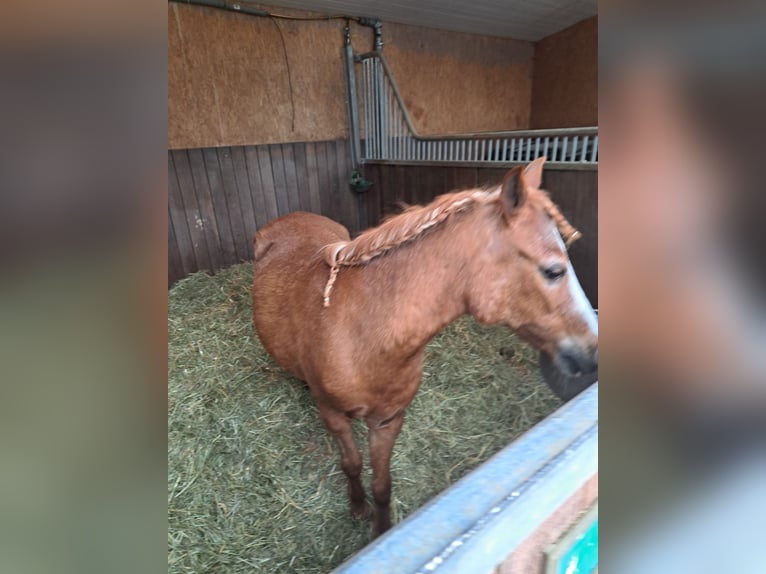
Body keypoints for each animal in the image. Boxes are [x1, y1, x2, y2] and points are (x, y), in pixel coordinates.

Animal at [252, 156, 600, 536]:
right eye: (553, 271)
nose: (593, 351)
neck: (362, 333)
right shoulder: (334, 416)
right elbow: (352, 463)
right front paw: (358, 507)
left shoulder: (388, 420)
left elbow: (382, 484)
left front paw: (380, 530)